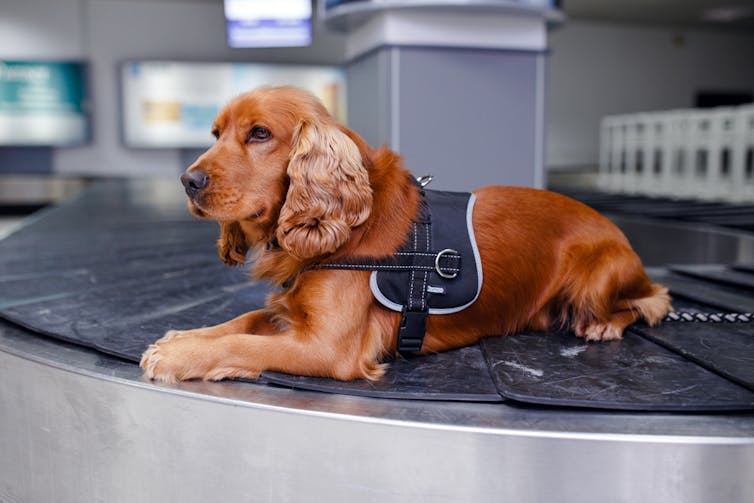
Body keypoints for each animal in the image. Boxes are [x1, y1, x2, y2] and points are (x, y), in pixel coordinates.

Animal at [138, 85, 668, 382]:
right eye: (216, 134)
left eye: (260, 134)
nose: (188, 180)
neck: (348, 226)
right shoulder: (292, 312)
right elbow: (241, 322)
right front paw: (183, 336)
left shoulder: (328, 347)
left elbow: (245, 344)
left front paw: (178, 356)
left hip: (597, 276)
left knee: (652, 300)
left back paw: (603, 324)